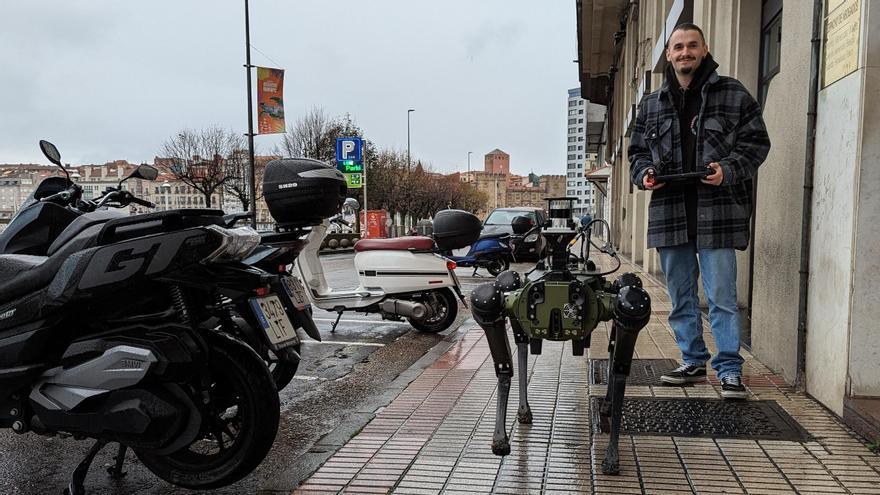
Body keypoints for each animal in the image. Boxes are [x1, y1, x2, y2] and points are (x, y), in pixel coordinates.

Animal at [470, 199, 648, 476]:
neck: (559, 272)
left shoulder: (626, 308)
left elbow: (621, 366)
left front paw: (611, 457)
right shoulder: (507, 301)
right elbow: (504, 365)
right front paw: (500, 438)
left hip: (622, 297)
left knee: (623, 308)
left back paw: (607, 406)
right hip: (512, 291)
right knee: (518, 330)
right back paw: (524, 411)